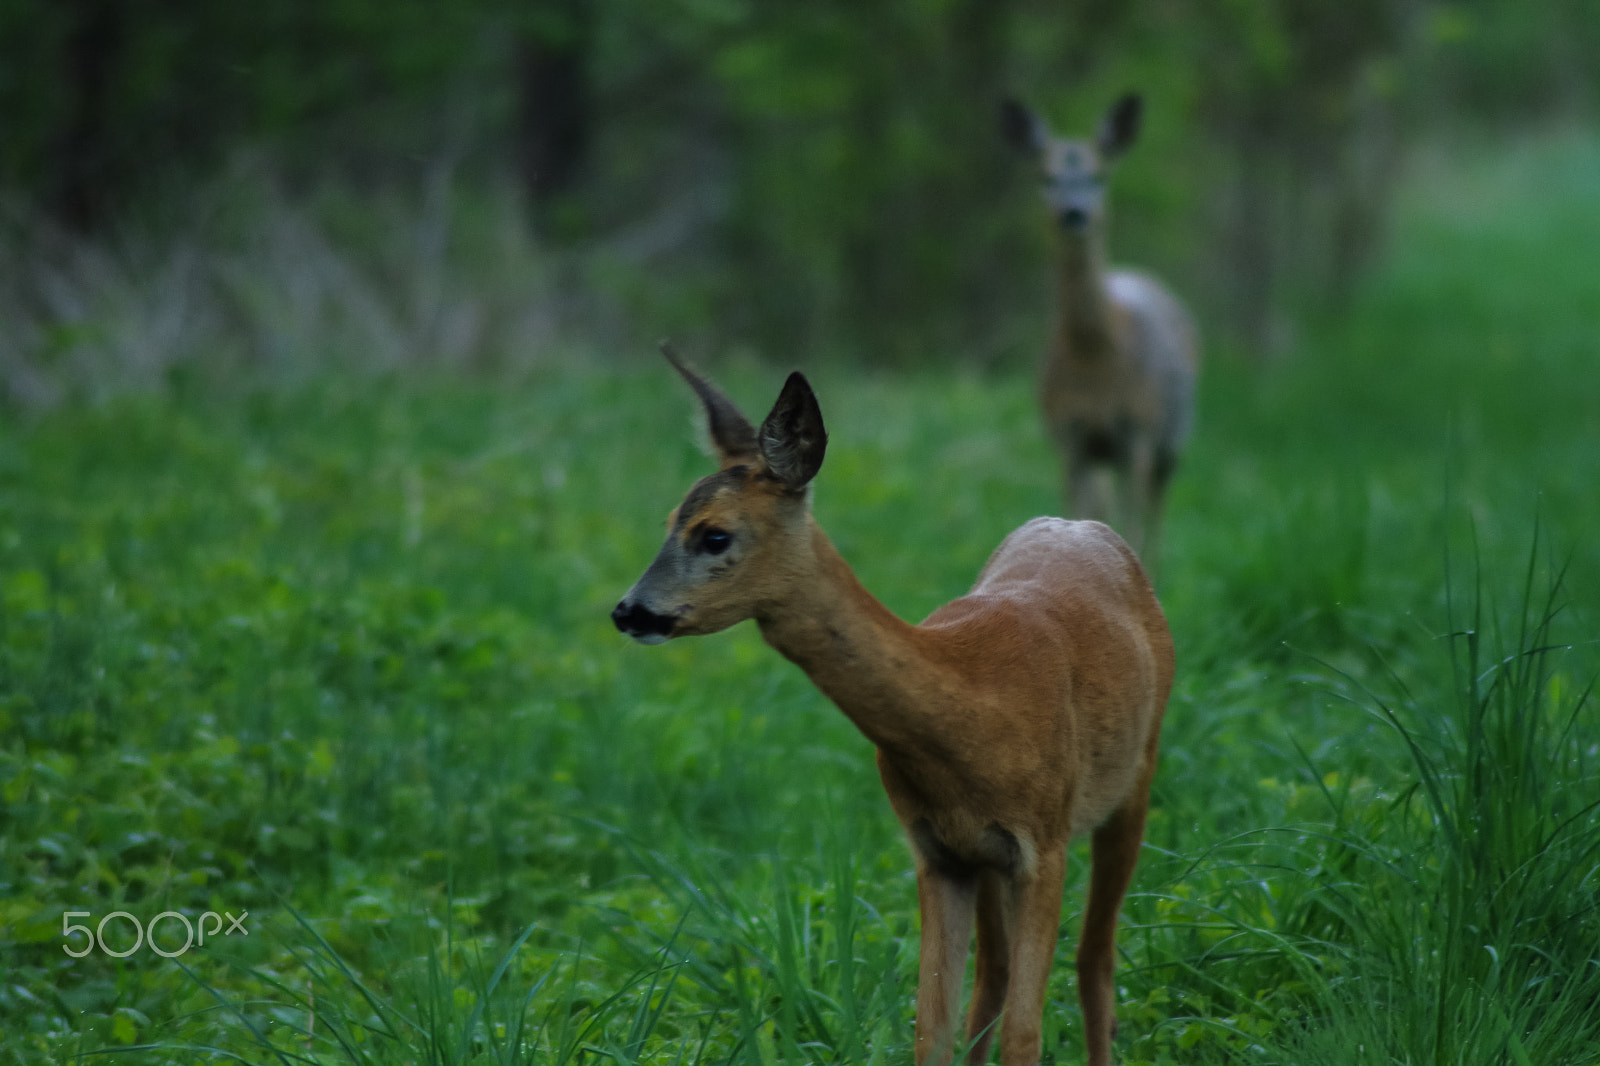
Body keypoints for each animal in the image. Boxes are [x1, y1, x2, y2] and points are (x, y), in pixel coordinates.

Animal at [611, 344, 1177, 1062]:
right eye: (668, 523)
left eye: (714, 535)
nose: (629, 610)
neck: (976, 712)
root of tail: (1088, 526)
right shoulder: (938, 850)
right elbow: (931, 1028)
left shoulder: (1042, 846)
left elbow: (1025, 1032)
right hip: (988, 861)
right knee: (993, 978)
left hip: (1135, 779)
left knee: (1094, 960)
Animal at [998, 93, 1203, 557]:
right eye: (1045, 176)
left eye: (1100, 175)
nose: (1074, 213)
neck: (1095, 357)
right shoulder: (1069, 438)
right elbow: (1075, 515)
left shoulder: (1138, 433)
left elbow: (1135, 529)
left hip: (1172, 435)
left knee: (1153, 516)